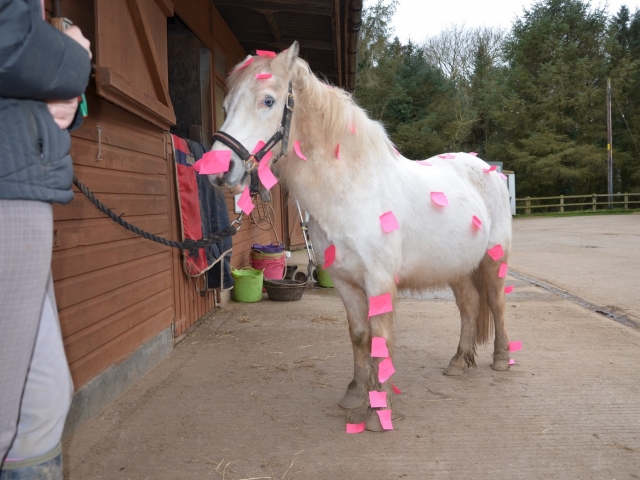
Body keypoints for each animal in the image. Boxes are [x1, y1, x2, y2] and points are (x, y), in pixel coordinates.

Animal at [210, 42, 513, 432]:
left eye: (267, 101)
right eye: (226, 106)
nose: (219, 171)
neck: (352, 189)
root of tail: (487, 168)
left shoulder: (379, 281)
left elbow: (380, 339)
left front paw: (378, 411)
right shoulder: (344, 281)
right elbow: (359, 336)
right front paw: (356, 393)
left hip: (494, 258)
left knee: (497, 304)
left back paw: (502, 359)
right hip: (457, 268)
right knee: (469, 307)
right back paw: (459, 361)